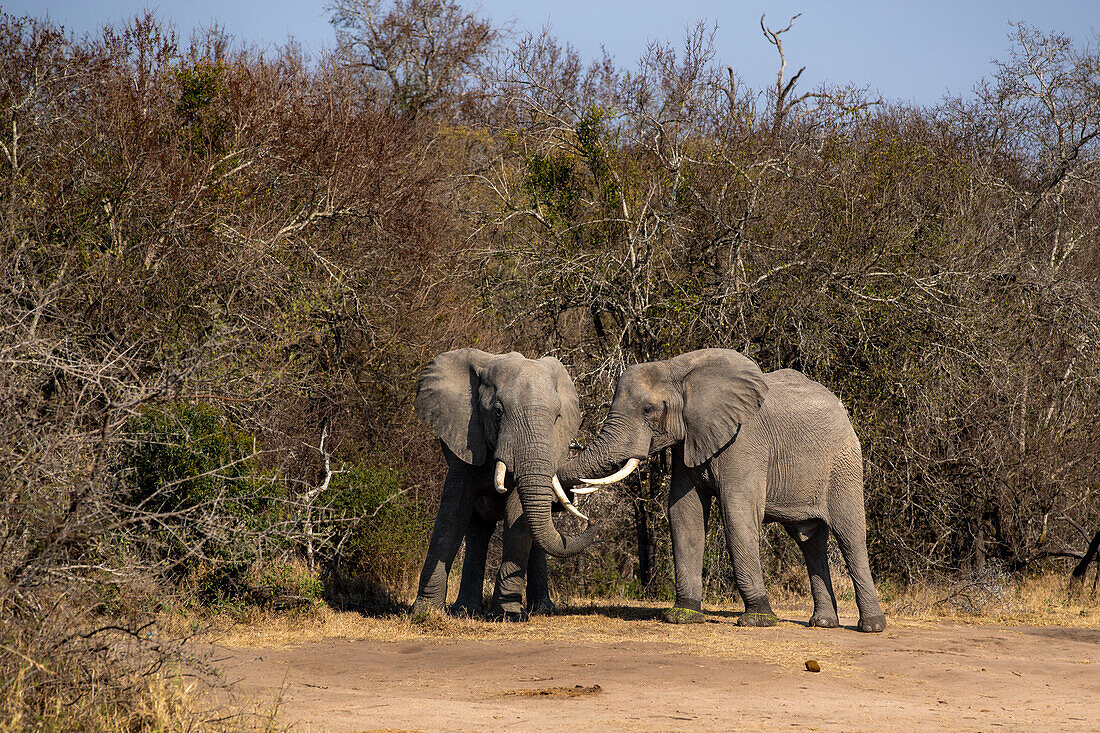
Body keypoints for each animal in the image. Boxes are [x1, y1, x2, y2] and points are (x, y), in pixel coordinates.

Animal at [411, 347, 594, 616]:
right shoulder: (464, 440)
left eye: (557, 417)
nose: (591, 522)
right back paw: (466, 610)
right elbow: (453, 516)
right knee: (478, 530)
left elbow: (518, 514)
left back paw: (542, 609)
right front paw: (425, 612)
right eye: (498, 413)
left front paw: (508, 615)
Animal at [563, 347, 888, 629]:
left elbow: (737, 515)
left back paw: (871, 626)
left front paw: (757, 620)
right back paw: (822, 623)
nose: (589, 520)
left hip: (843, 464)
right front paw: (682, 615)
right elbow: (684, 514)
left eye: (648, 409)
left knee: (849, 535)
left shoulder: (744, 441)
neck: (679, 370)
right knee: (810, 541)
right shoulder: (688, 441)